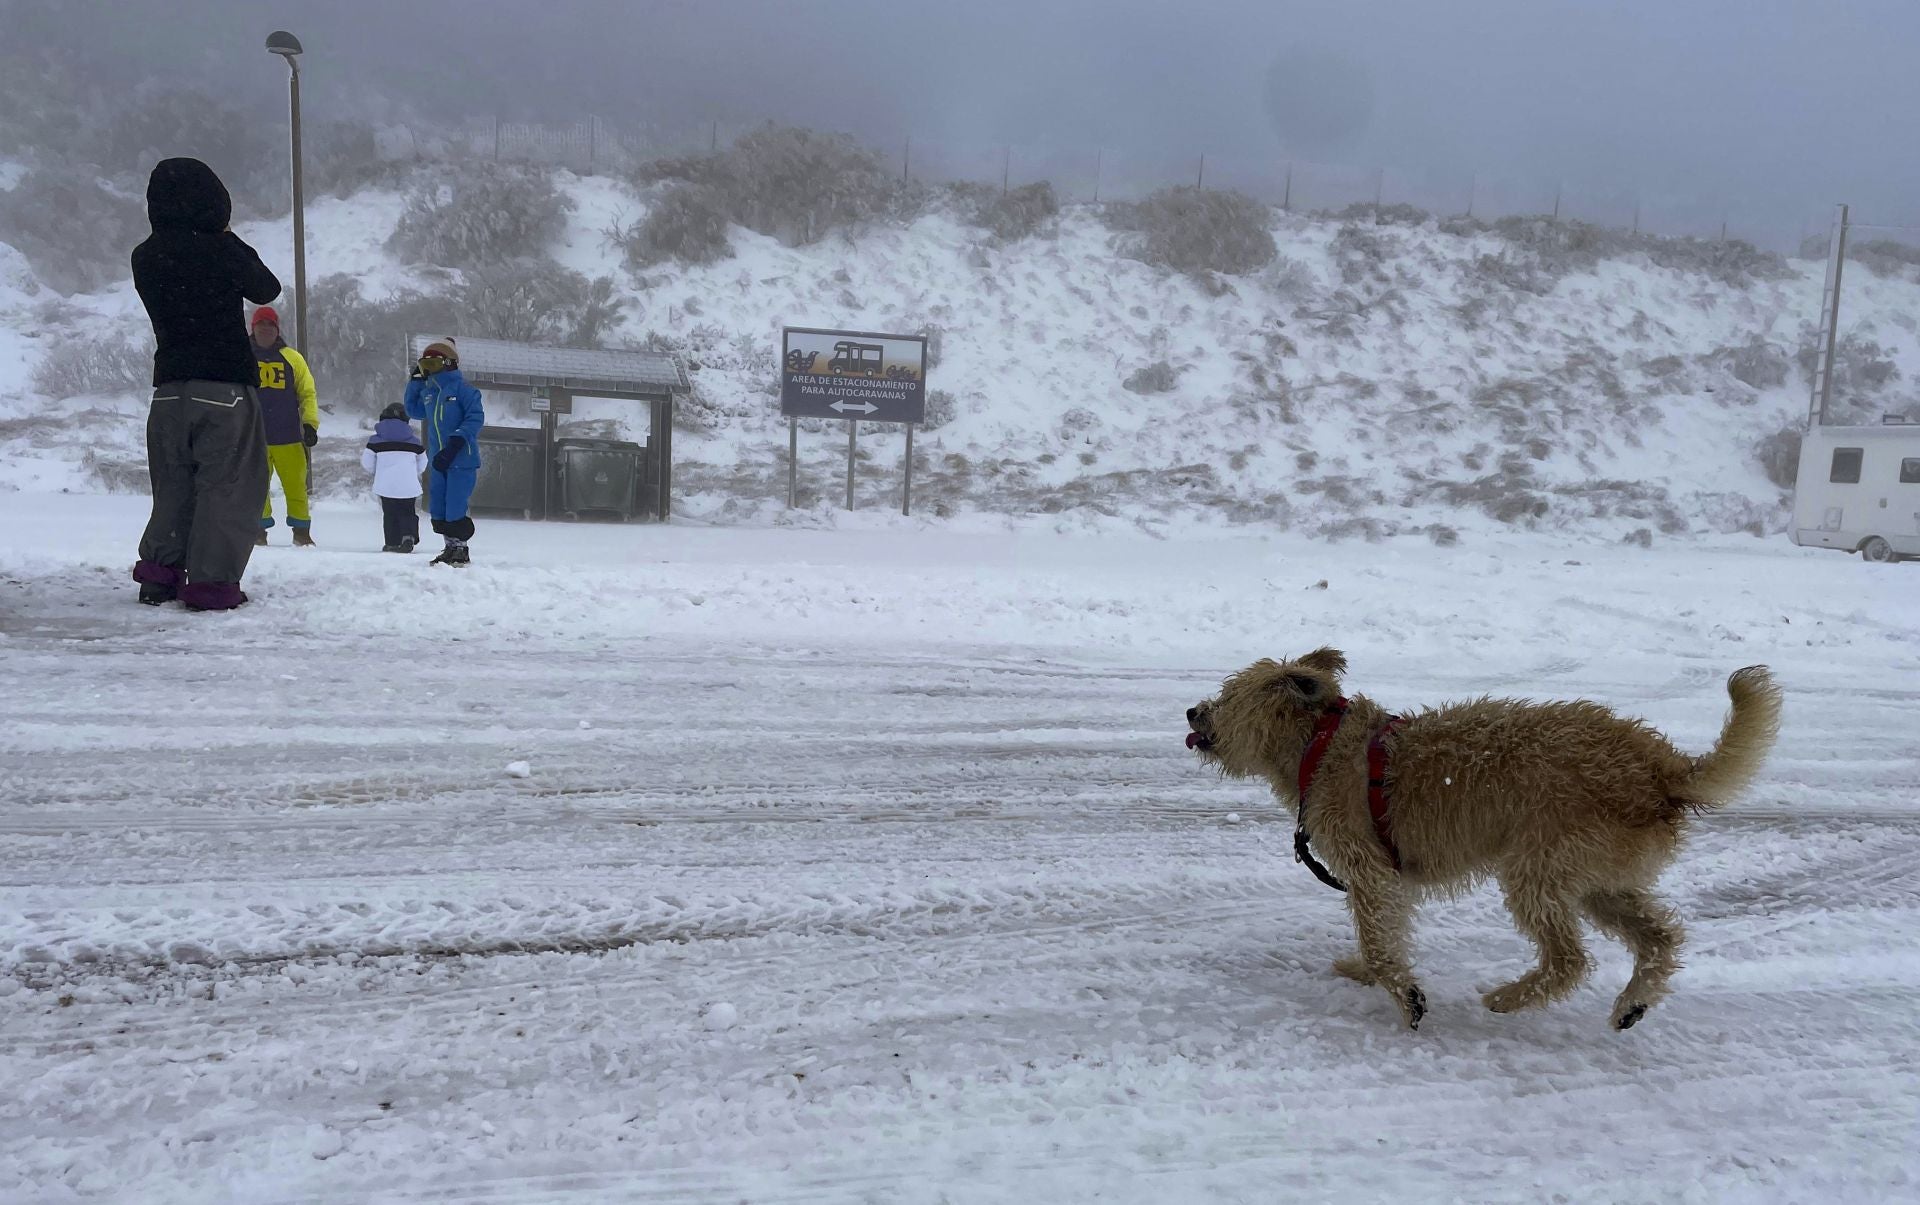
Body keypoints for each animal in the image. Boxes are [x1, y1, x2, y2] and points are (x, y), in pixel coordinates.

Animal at [1182, 652, 1781, 1028]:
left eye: (1228, 695)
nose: (1191, 710)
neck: (1322, 745)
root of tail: (1661, 768)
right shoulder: (1388, 880)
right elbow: (1384, 934)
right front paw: (1367, 973)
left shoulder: (1370, 870)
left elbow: (1378, 941)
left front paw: (1405, 996)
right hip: (1600, 880)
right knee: (1660, 939)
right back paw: (1632, 1003)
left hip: (1539, 869)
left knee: (1569, 959)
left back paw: (1507, 999)